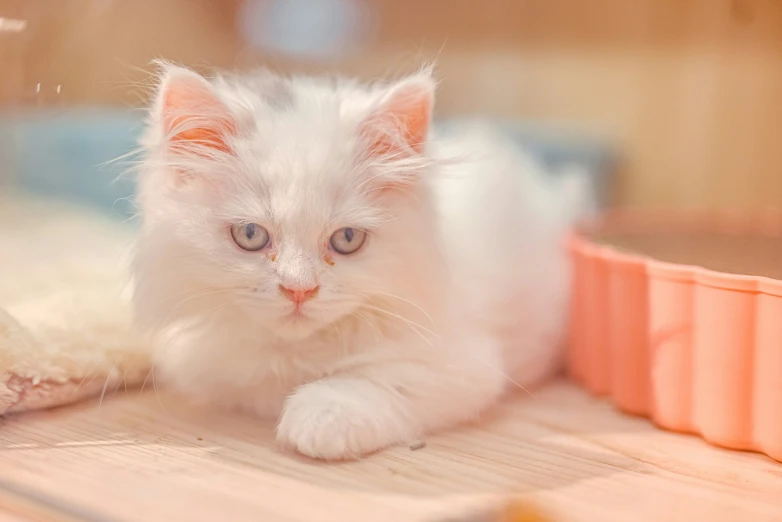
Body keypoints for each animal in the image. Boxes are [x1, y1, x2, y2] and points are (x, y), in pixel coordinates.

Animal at [132, 63, 592, 458]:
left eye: (347, 239)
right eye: (250, 235)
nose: (299, 289)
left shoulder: (461, 364)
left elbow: (372, 382)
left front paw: (316, 416)